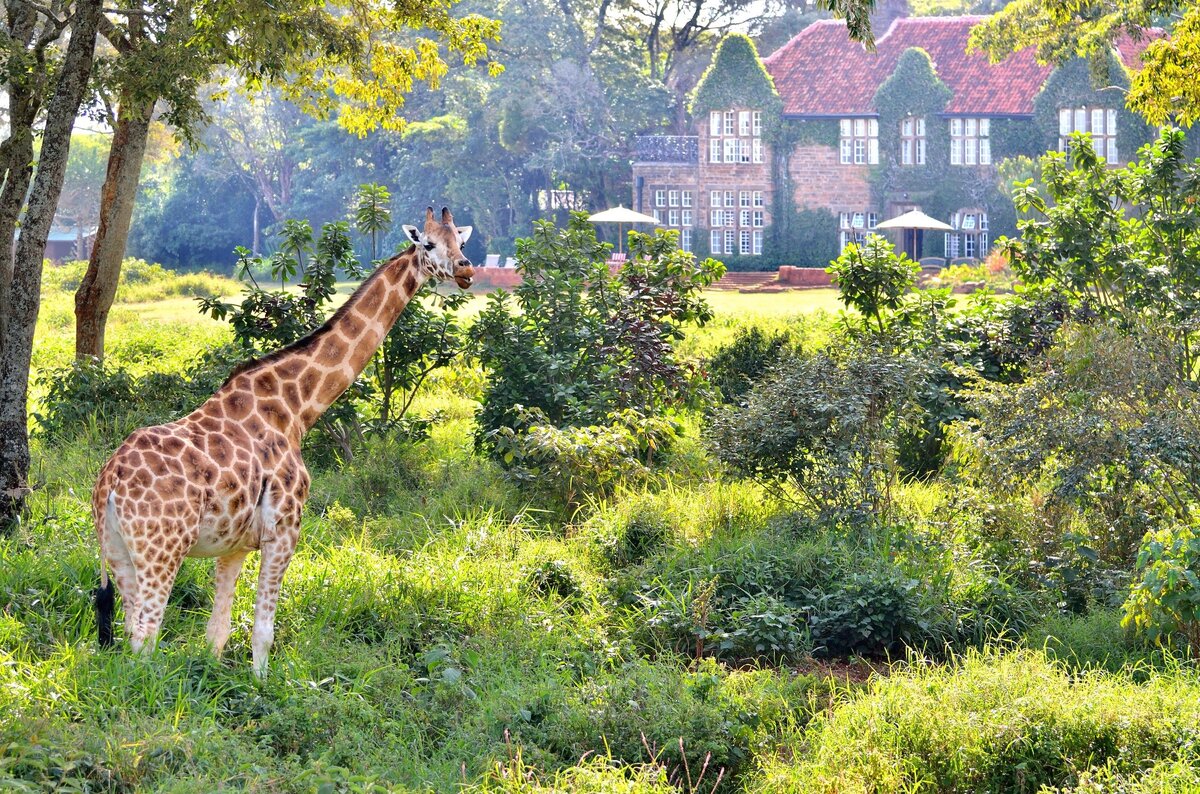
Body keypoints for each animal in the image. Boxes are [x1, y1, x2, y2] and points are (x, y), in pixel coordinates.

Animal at [91, 205, 472, 676]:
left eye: (462, 241)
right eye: (430, 244)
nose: (466, 271)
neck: (296, 408)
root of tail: (110, 480)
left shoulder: (234, 543)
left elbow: (217, 631)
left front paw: (217, 682)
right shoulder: (285, 531)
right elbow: (263, 632)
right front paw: (261, 686)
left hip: (117, 549)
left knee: (129, 628)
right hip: (162, 548)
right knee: (145, 633)